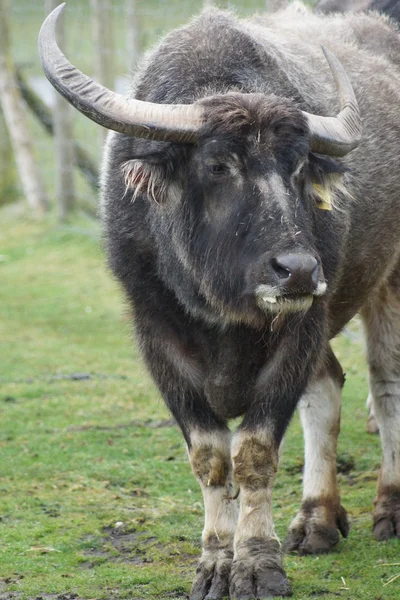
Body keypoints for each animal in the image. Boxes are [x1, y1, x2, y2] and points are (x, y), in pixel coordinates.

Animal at [39, 4, 400, 600]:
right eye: (218, 165)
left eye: (299, 166)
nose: (299, 271)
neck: (219, 306)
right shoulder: (158, 340)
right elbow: (209, 457)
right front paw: (213, 564)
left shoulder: (298, 332)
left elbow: (253, 453)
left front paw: (256, 564)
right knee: (328, 387)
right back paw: (317, 520)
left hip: (388, 281)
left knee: (386, 382)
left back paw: (388, 509)